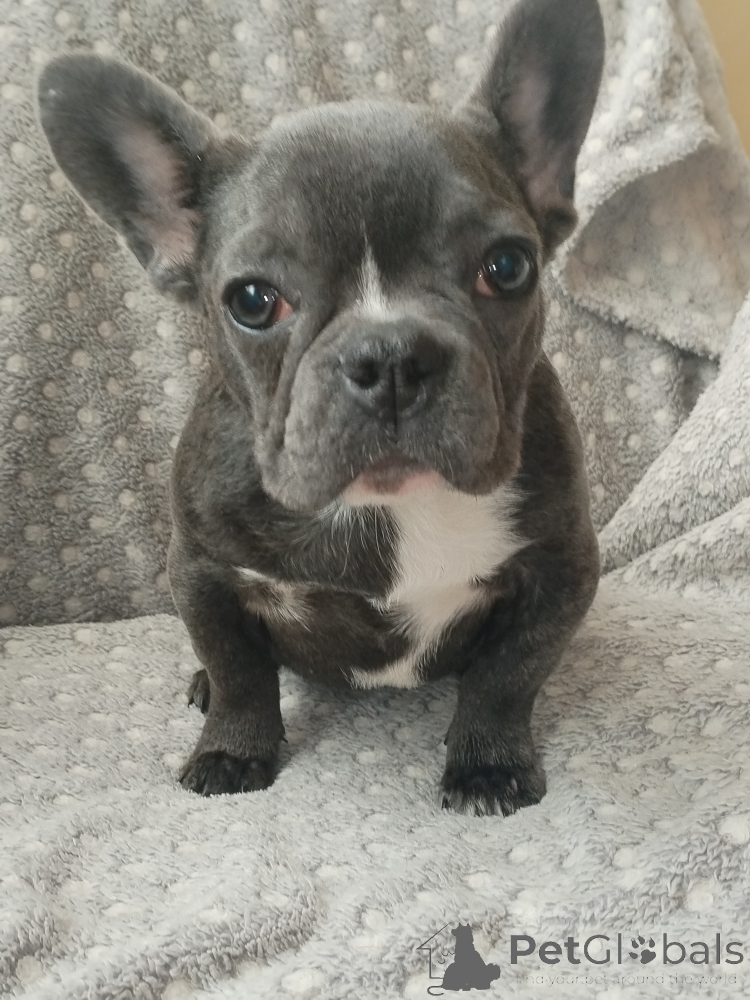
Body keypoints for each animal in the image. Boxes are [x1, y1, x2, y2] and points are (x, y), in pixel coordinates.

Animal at [38, 0, 603, 815]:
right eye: (252, 300)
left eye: (507, 267)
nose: (390, 355)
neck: (391, 509)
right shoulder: (201, 572)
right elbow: (240, 674)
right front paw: (232, 752)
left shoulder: (561, 570)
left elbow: (509, 677)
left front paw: (487, 766)